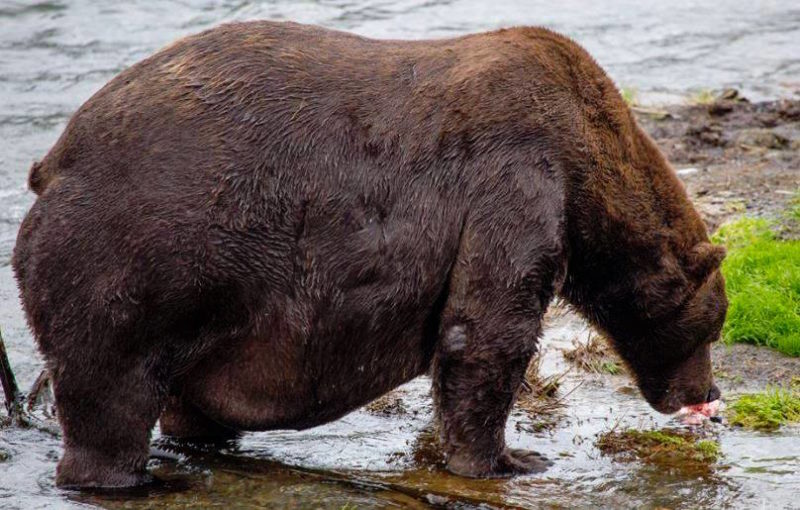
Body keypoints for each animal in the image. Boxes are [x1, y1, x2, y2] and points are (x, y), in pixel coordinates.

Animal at [12, 21, 727, 489]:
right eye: (713, 325)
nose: (709, 392)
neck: (589, 173)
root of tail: (53, 161)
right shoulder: (517, 177)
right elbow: (488, 328)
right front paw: (509, 460)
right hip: (134, 258)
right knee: (110, 392)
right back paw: (126, 477)